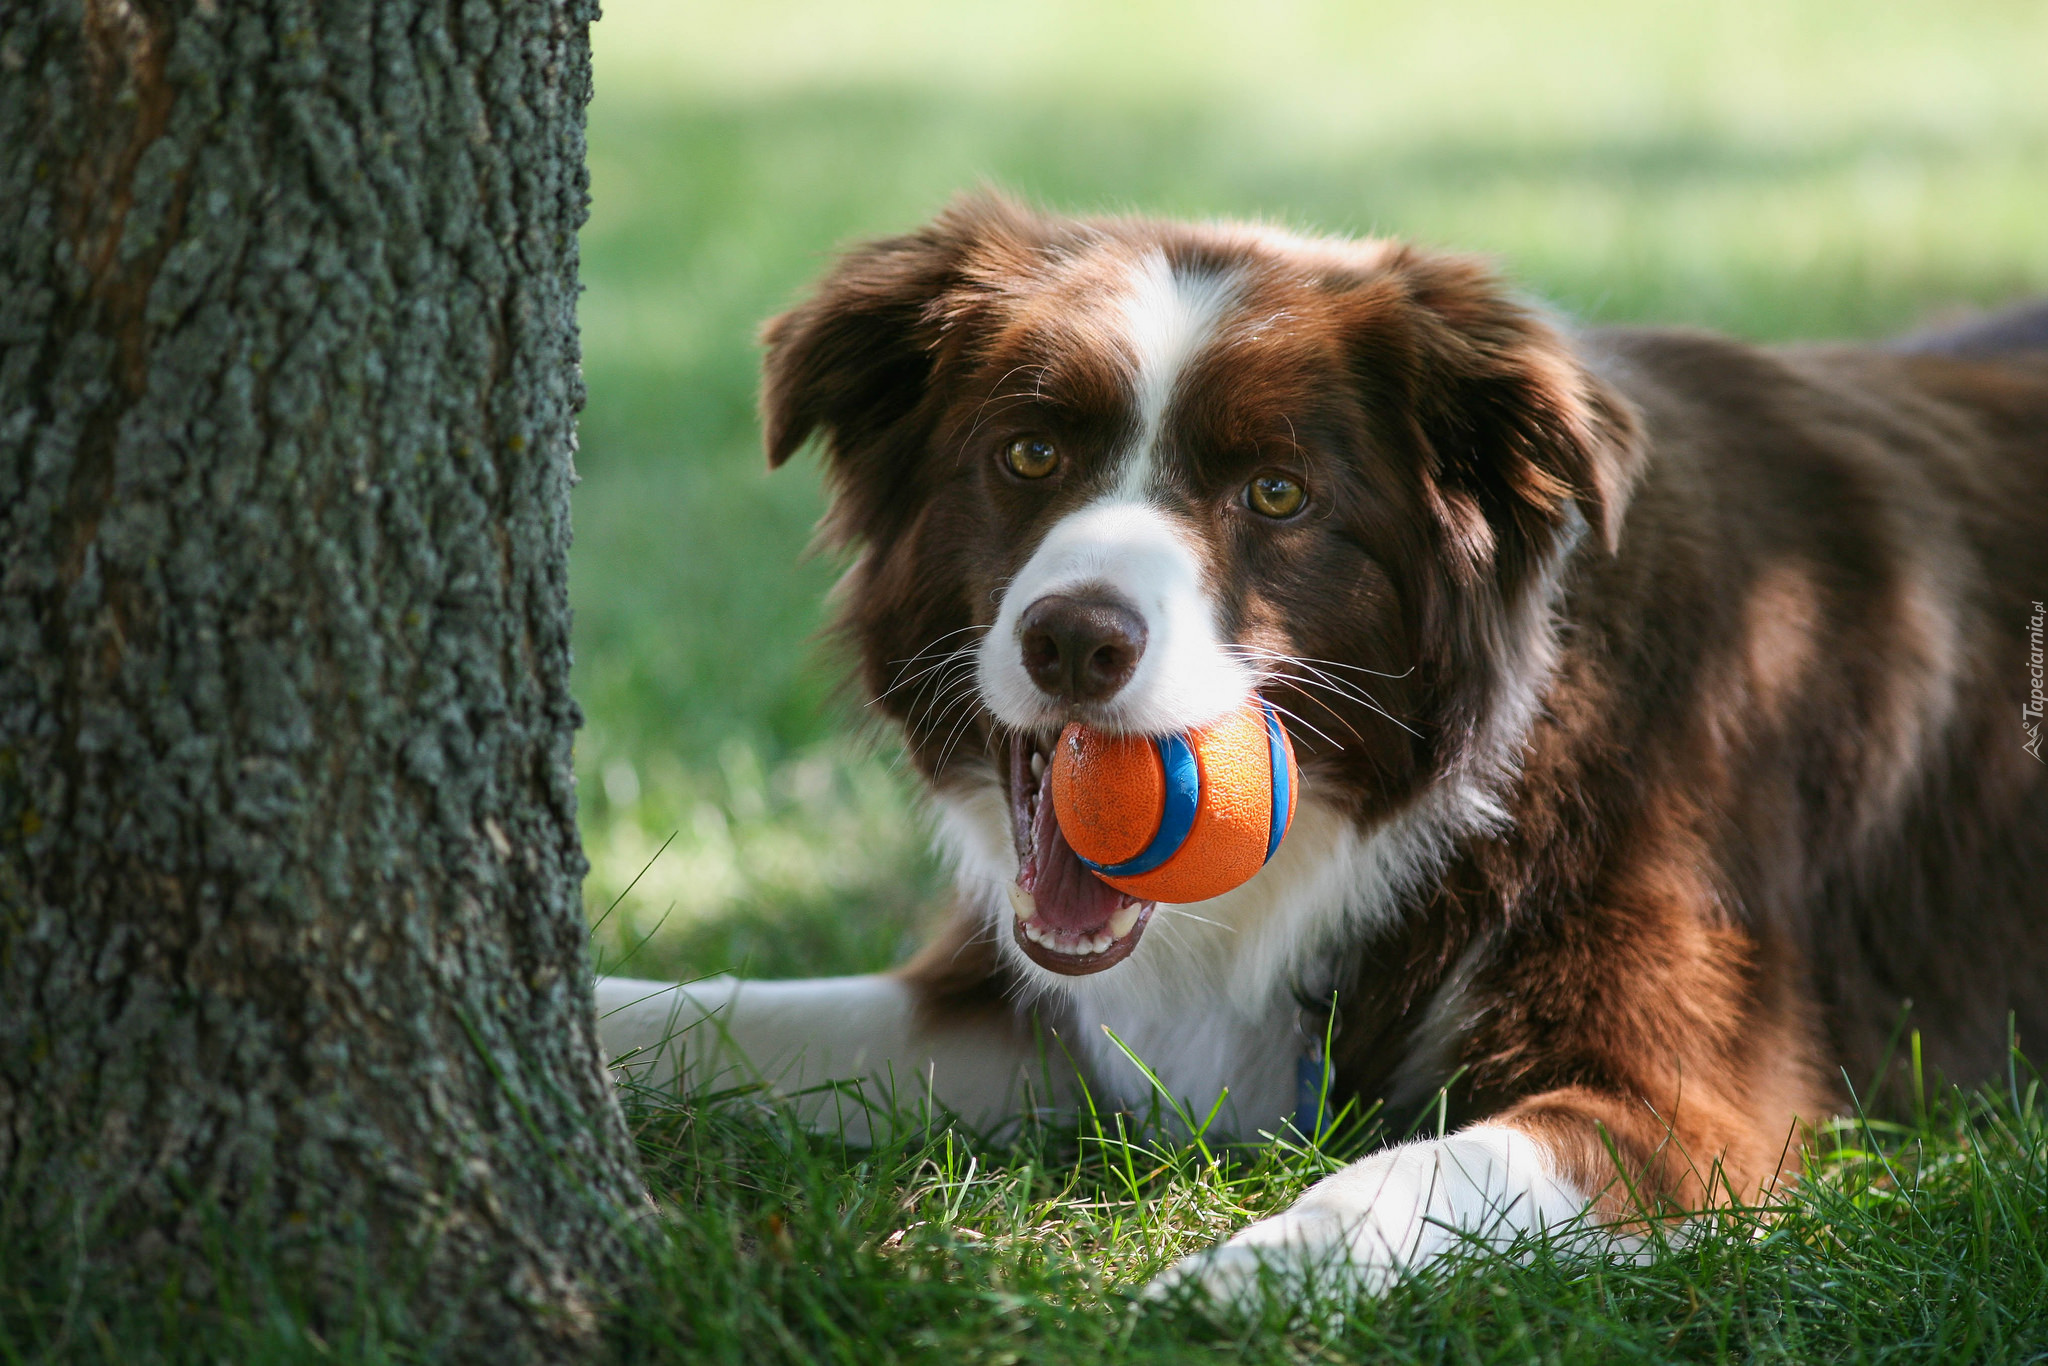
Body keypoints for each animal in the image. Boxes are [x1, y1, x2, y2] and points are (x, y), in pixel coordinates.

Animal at [598, 192, 2048, 1302]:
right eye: (1028, 453)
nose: (1075, 641)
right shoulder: (1043, 1021)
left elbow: (1405, 1173)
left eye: (1279, 493)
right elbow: (705, 1015)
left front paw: (1223, 1285)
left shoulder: (1685, 1105)